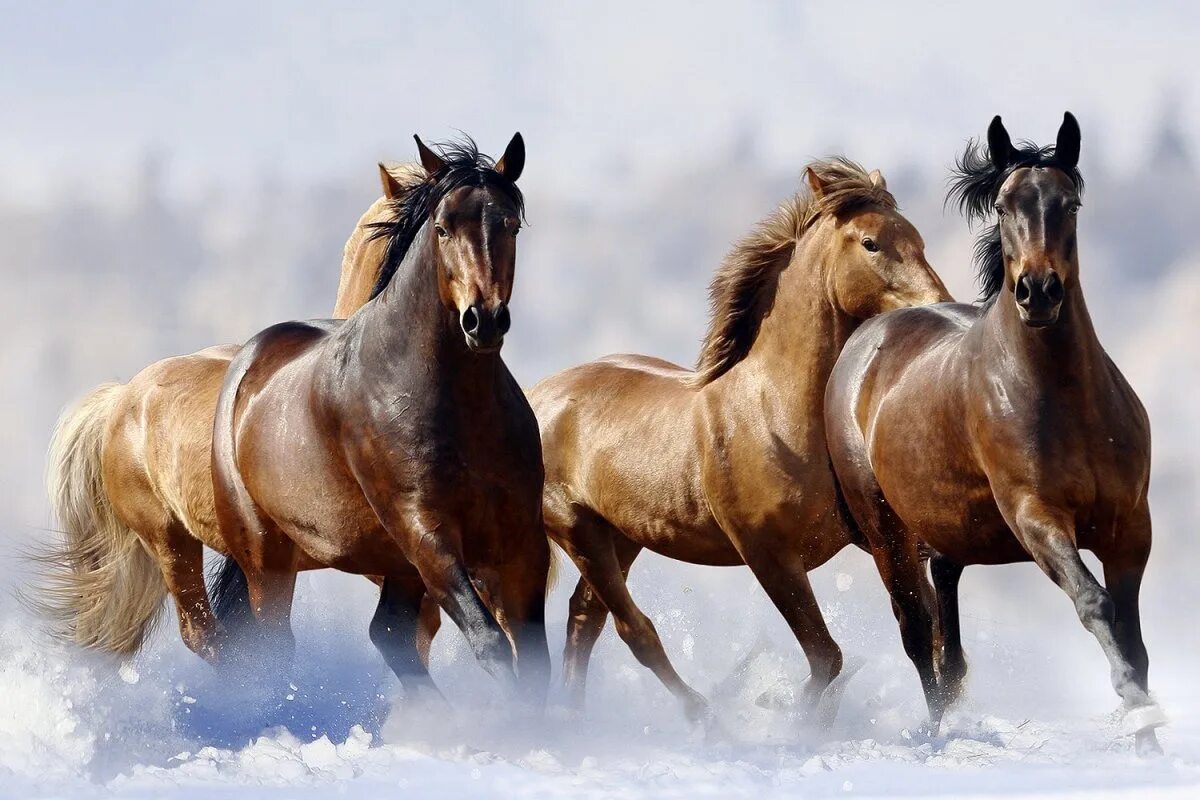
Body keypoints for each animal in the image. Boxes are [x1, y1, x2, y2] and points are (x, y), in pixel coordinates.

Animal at [208, 134, 554, 705]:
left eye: (510, 224)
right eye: (442, 227)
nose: (483, 320)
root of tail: (247, 365)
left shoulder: (521, 540)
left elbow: (533, 657)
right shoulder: (428, 534)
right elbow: (490, 643)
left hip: (394, 564)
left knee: (390, 633)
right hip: (268, 557)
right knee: (275, 647)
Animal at [530, 159, 950, 729]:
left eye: (919, 239)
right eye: (871, 243)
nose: (940, 308)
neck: (775, 414)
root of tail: (535, 397)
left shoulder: (887, 538)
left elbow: (920, 628)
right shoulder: (767, 554)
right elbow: (827, 657)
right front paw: (788, 716)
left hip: (622, 536)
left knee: (583, 620)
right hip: (578, 531)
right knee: (632, 629)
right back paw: (702, 716)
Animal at [825, 113, 1161, 758]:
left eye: (1070, 203)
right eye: (1004, 206)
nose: (1038, 291)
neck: (1064, 401)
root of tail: (865, 339)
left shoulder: (1130, 526)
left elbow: (1133, 634)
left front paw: (1149, 738)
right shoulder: (1036, 517)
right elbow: (1095, 603)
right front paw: (1137, 711)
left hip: (947, 532)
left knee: (946, 635)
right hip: (886, 534)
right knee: (917, 635)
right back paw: (936, 735)